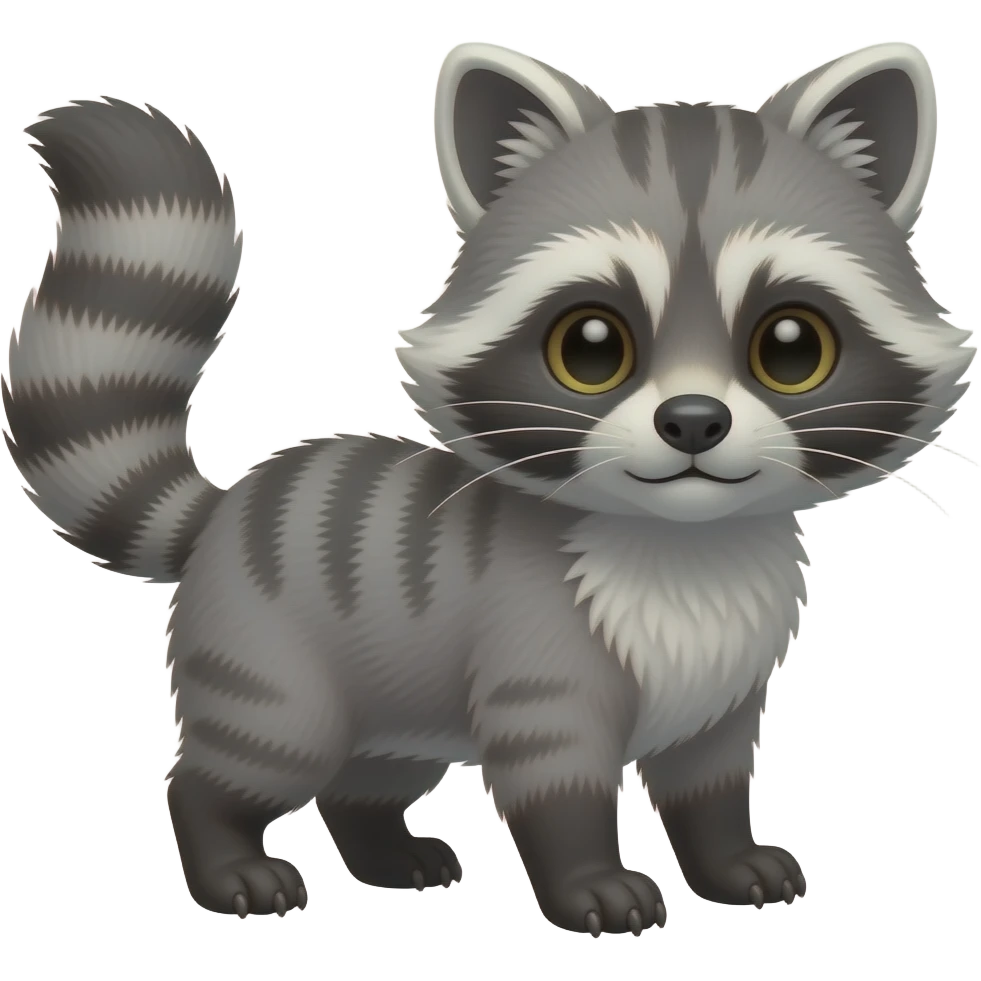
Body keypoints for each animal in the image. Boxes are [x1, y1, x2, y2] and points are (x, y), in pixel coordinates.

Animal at [2, 41, 973, 935]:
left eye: (789, 347)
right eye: (590, 346)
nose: (694, 421)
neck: (687, 541)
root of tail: (225, 509)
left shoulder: (728, 685)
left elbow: (708, 778)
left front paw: (726, 857)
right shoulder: (534, 648)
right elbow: (557, 780)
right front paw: (588, 881)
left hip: (393, 701)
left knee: (367, 775)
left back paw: (384, 850)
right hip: (270, 657)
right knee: (245, 756)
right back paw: (225, 856)